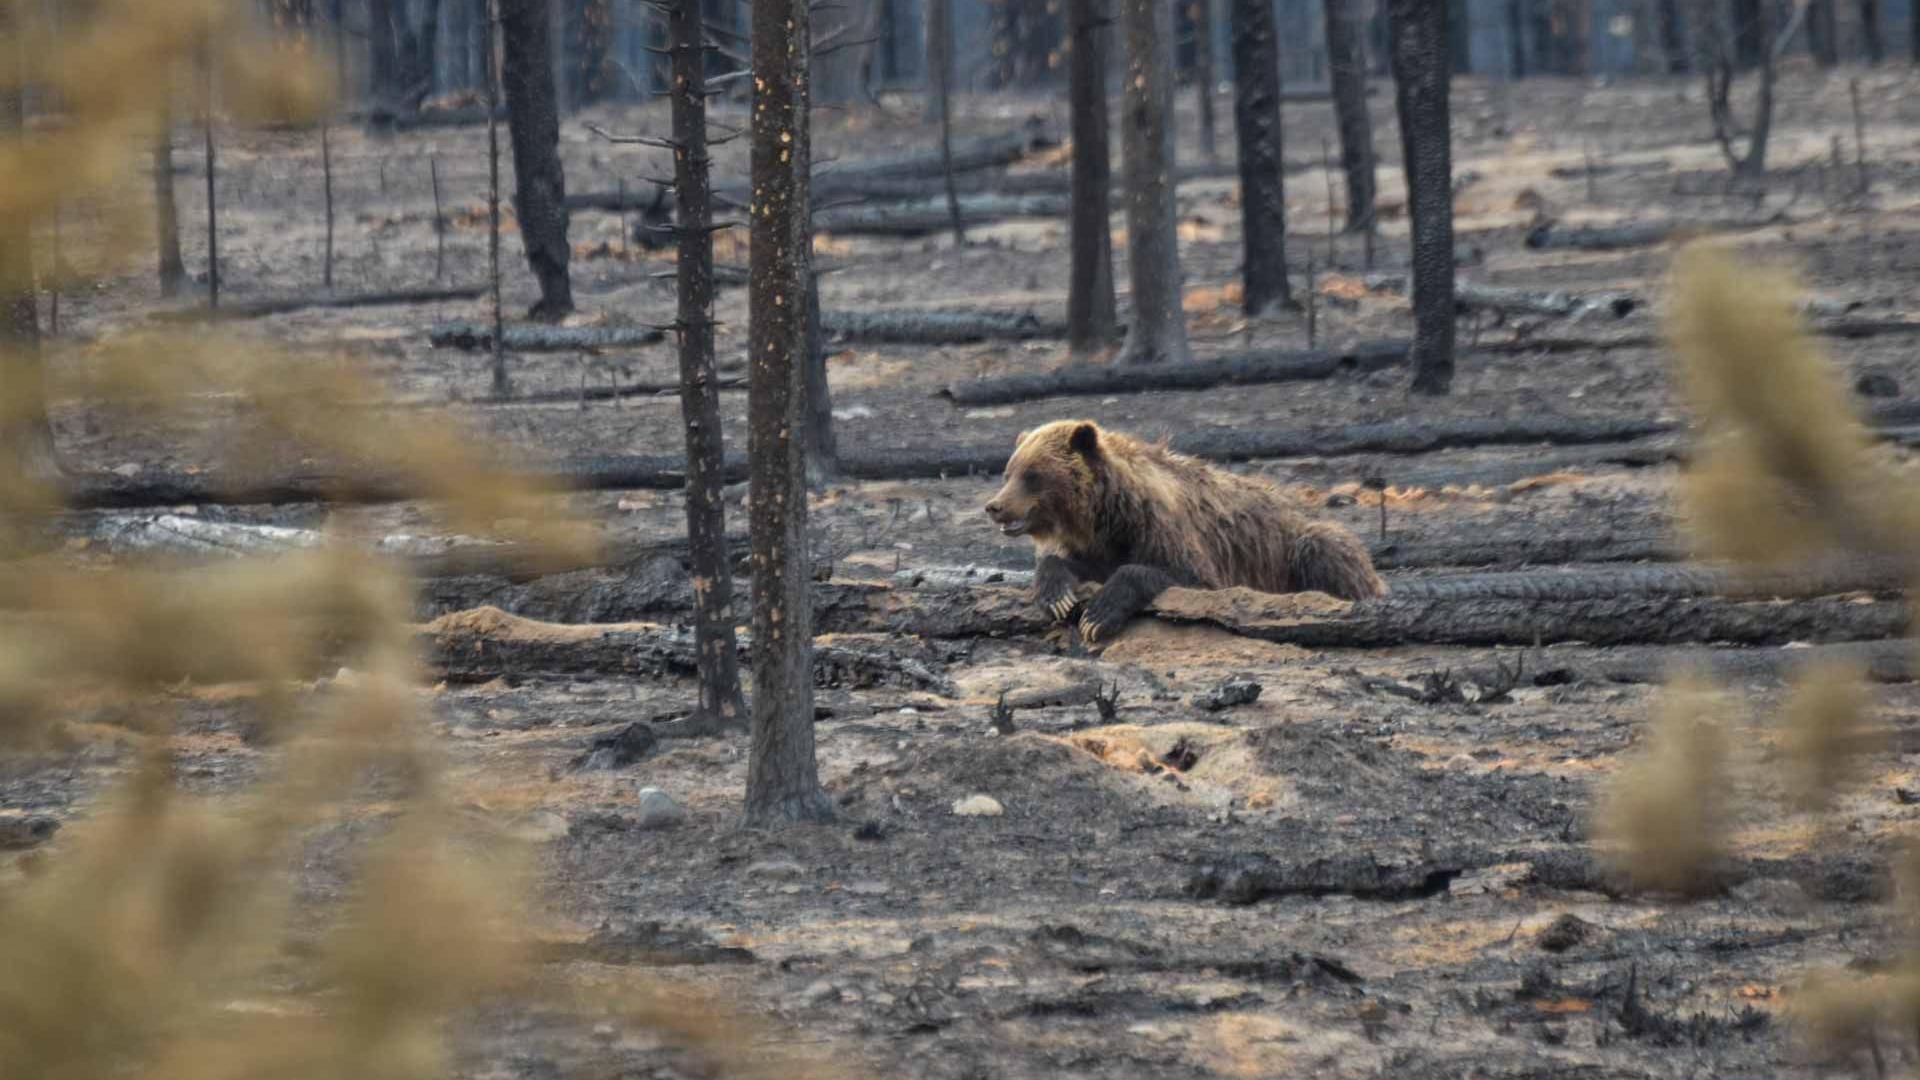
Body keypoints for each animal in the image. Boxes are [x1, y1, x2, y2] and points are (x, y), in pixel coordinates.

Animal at [990, 418, 1382, 638]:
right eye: (1009, 472)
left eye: (1032, 474)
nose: (994, 506)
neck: (1105, 513)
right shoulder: (1095, 545)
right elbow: (1067, 564)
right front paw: (1056, 597)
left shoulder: (1162, 530)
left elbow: (1180, 574)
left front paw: (1097, 616)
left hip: (1299, 544)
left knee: (1326, 549)